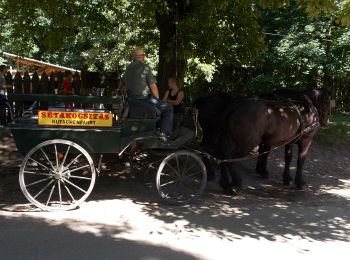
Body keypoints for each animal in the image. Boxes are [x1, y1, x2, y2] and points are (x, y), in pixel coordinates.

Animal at [197, 88, 330, 194]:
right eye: (327, 103)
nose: (325, 121)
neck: (303, 108)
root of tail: (236, 106)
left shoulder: (288, 141)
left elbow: (287, 159)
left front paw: (286, 178)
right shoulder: (305, 140)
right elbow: (300, 161)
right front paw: (300, 183)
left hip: (226, 138)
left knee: (221, 155)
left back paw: (224, 183)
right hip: (246, 142)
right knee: (231, 157)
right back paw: (234, 184)